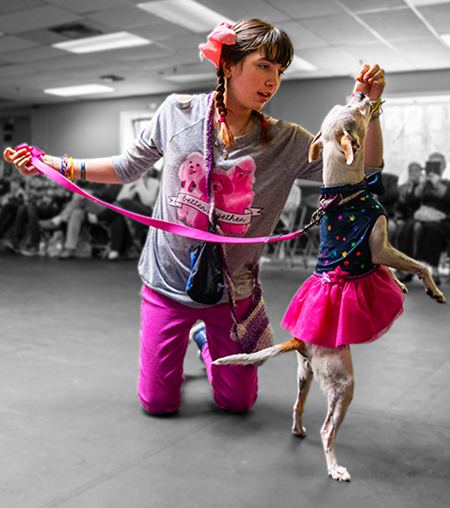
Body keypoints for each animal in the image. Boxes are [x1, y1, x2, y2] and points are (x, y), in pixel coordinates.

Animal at [214, 93, 446, 482]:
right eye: (354, 111)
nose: (363, 94)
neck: (345, 191)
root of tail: (300, 341)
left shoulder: (379, 252)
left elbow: (388, 270)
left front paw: (398, 283)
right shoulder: (380, 244)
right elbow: (419, 264)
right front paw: (432, 288)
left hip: (305, 375)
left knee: (298, 406)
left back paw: (298, 430)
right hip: (342, 384)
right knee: (327, 430)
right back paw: (335, 468)